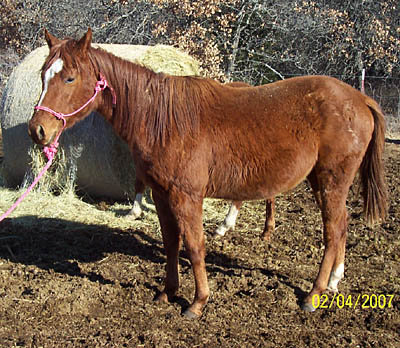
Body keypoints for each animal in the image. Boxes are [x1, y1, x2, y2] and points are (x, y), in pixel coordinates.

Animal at [26, 29, 386, 318]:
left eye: (69, 78)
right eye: (43, 74)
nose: (38, 130)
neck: (161, 118)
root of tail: (360, 98)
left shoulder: (187, 196)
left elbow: (195, 246)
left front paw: (197, 303)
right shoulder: (161, 194)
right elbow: (171, 243)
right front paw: (167, 293)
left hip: (331, 181)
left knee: (332, 231)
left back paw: (313, 295)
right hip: (323, 182)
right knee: (342, 227)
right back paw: (334, 282)